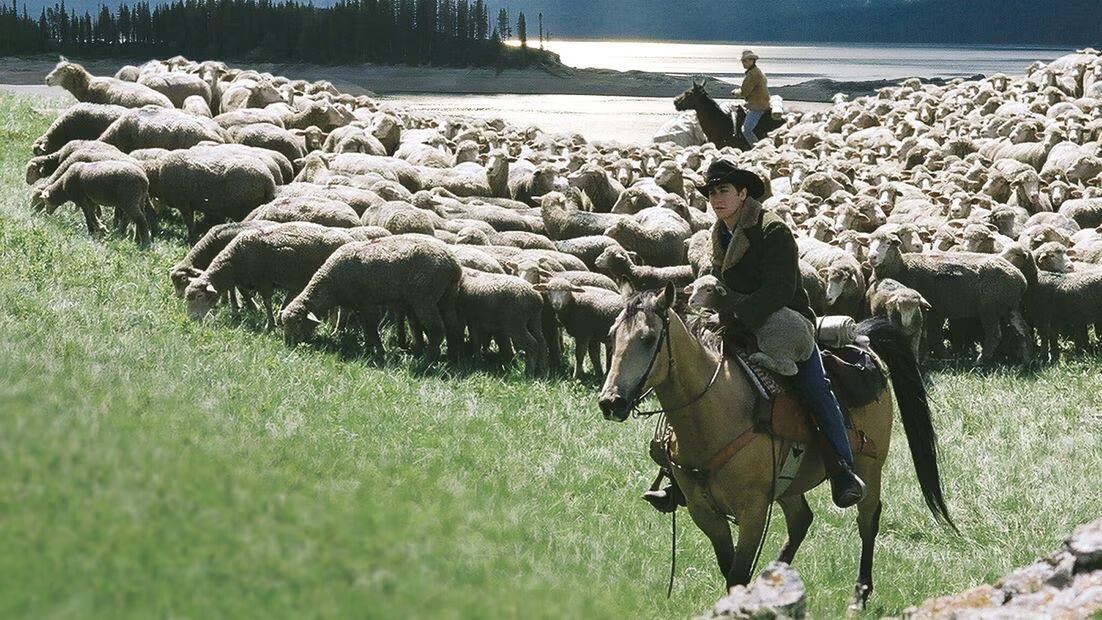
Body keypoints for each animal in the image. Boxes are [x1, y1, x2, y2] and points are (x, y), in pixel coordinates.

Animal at [182, 222, 350, 330]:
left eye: (199, 296)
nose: (191, 319)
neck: (235, 259)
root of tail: (348, 239)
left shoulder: (264, 281)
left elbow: (267, 302)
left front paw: (269, 325)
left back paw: (335, 327)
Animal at [282, 236, 462, 363]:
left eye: (298, 322)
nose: (288, 345)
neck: (330, 283)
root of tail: (453, 263)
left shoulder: (367, 303)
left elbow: (371, 329)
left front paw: (379, 353)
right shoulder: (358, 305)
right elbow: (366, 329)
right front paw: (368, 349)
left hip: (424, 297)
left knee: (437, 329)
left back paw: (428, 360)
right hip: (447, 295)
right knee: (452, 327)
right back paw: (451, 357)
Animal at [683, 274, 815, 376]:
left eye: (708, 290)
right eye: (693, 288)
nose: (691, 301)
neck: (728, 300)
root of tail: (807, 347)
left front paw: (714, 318)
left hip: (776, 345)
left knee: (789, 368)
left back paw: (759, 358)